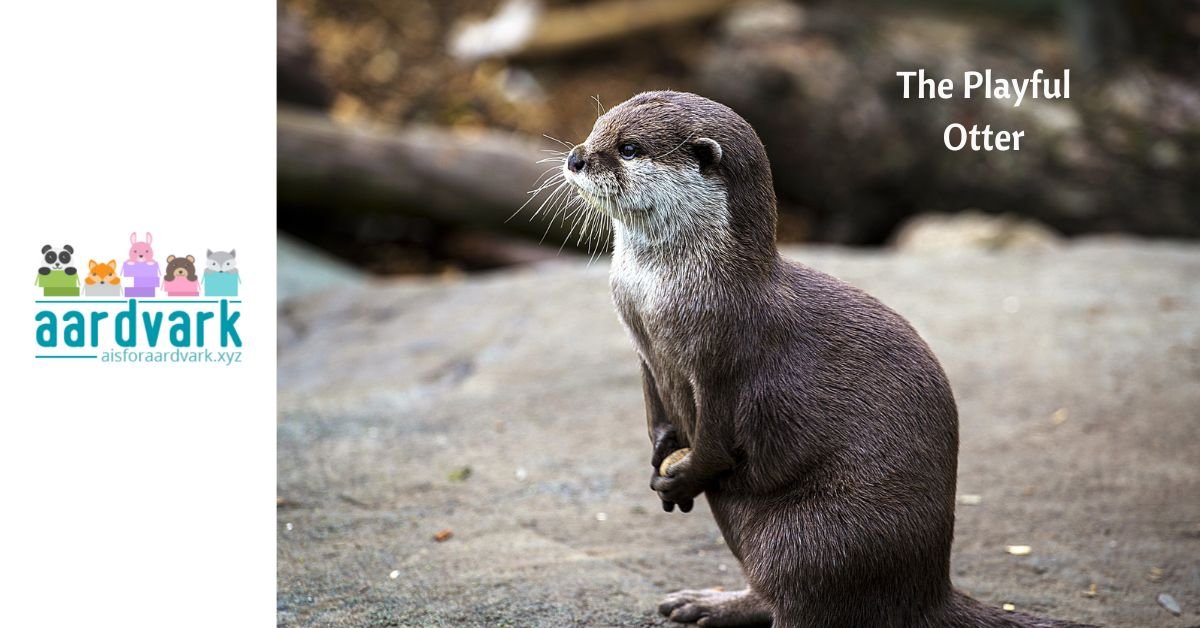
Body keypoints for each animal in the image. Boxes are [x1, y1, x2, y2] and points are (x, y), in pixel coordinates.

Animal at [556, 92, 1094, 628]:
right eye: (597, 128)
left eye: (629, 148)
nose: (576, 157)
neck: (659, 295)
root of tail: (928, 590)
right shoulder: (644, 350)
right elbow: (656, 411)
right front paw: (661, 456)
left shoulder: (725, 357)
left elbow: (714, 445)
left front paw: (683, 474)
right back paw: (706, 603)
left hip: (814, 539)